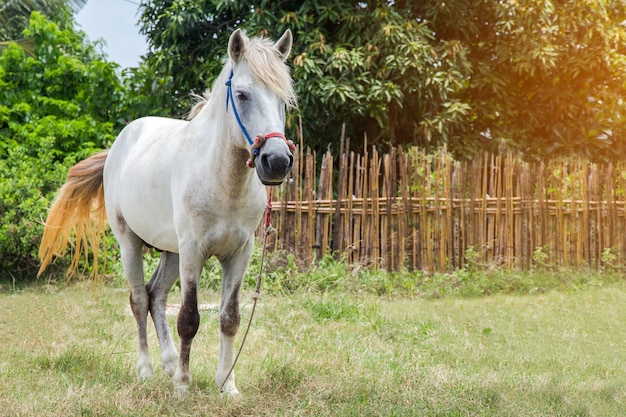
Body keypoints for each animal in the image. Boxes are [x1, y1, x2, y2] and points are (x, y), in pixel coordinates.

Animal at [39, 29, 298, 394]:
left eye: (284, 100)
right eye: (243, 95)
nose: (276, 161)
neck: (222, 180)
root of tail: (121, 142)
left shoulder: (240, 253)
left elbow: (230, 318)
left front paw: (226, 384)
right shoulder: (193, 250)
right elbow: (189, 318)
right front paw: (183, 386)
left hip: (171, 252)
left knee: (157, 296)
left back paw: (170, 362)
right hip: (131, 244)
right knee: (139, 300)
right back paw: (147, 369)